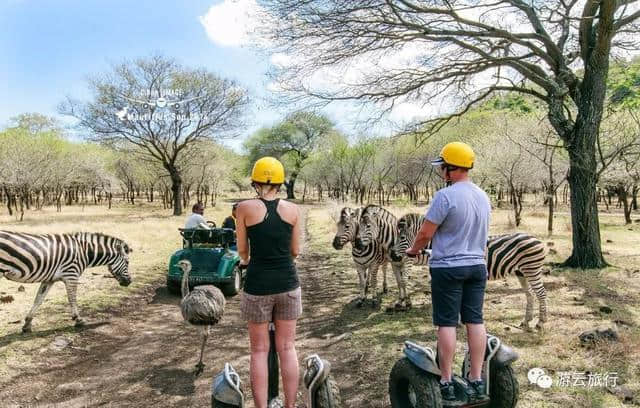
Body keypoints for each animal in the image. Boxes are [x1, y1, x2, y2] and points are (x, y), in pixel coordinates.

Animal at [0, 231, 132, 334]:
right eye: (127, 262)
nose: (130, 282)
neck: (84, 251)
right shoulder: (71, 275)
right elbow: (72, 298)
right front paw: (78, 320)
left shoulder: (49, 279)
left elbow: (38, 300)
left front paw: (27, 324)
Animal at [390, 214, 552, 332]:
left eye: (402, 237)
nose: (392, 255)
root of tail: (537, 240)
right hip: (521, 272)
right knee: (530, 294)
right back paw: (526, 321)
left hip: (531, 269)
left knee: (541, 293)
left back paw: (541, 322)